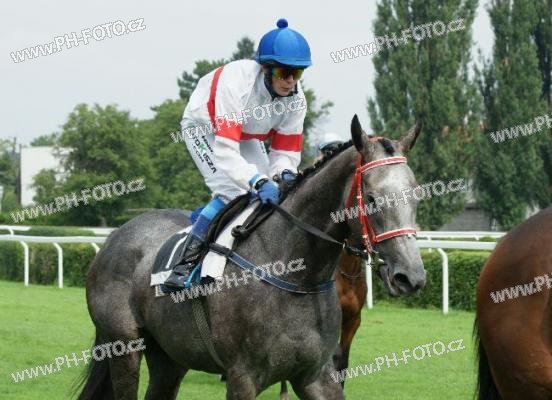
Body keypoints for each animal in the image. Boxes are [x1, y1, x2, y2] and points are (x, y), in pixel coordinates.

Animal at [77, 115, 426, 400]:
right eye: (372, 198)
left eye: (417, 195)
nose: (411, 276)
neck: (296, 275)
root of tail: (115, 236)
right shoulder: (242, 377)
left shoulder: (316, 375)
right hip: (124, 347)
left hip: (170, 354)